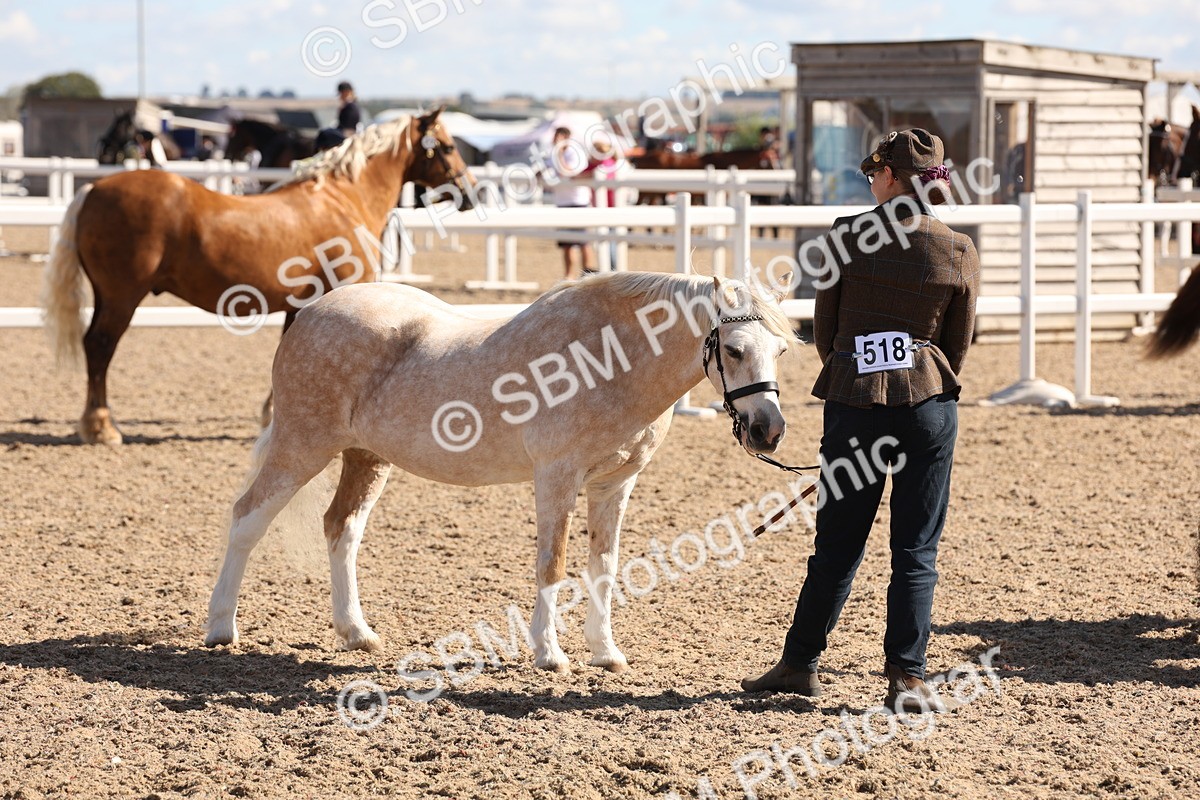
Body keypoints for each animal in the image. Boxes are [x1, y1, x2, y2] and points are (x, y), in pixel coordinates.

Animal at [42, 109, 474, 445]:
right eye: (447, 146)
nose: (470, 193)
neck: (343, 198)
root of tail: (94, 188)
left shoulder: (301, 304)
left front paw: (272, 413)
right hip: (122, 297)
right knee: (100, 346)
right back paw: (101, 427)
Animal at [204, 270, 797, 673]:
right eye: (735, 349)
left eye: (784, 349)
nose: (768, 430)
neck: (608, 359)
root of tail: (310, 313)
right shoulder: (557, 478)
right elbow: (553, 566)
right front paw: (549, 654)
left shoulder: (613, 485)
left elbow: (604, 567)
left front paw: (605, 652)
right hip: (301, 445)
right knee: (247, 518)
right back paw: (220, 628)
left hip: (365, 458)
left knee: (341, 529)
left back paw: (357, 633)